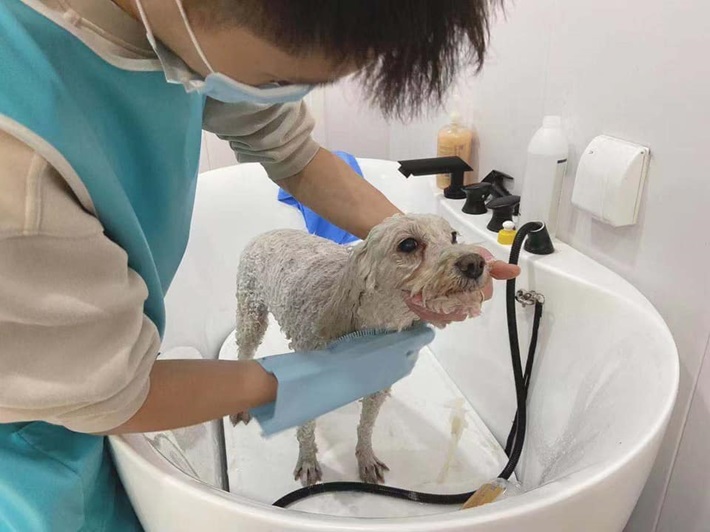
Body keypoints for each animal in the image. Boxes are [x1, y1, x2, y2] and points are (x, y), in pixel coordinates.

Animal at [234, 212, 490, 486]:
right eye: (408, 244)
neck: (369, 328)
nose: (475, 262)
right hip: (251, 312)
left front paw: (366, 459)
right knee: (244, 350)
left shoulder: (379, 383)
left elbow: (367, 425)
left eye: (453, 237)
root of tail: (267, 232)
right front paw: (308, 460)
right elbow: (306, 428)